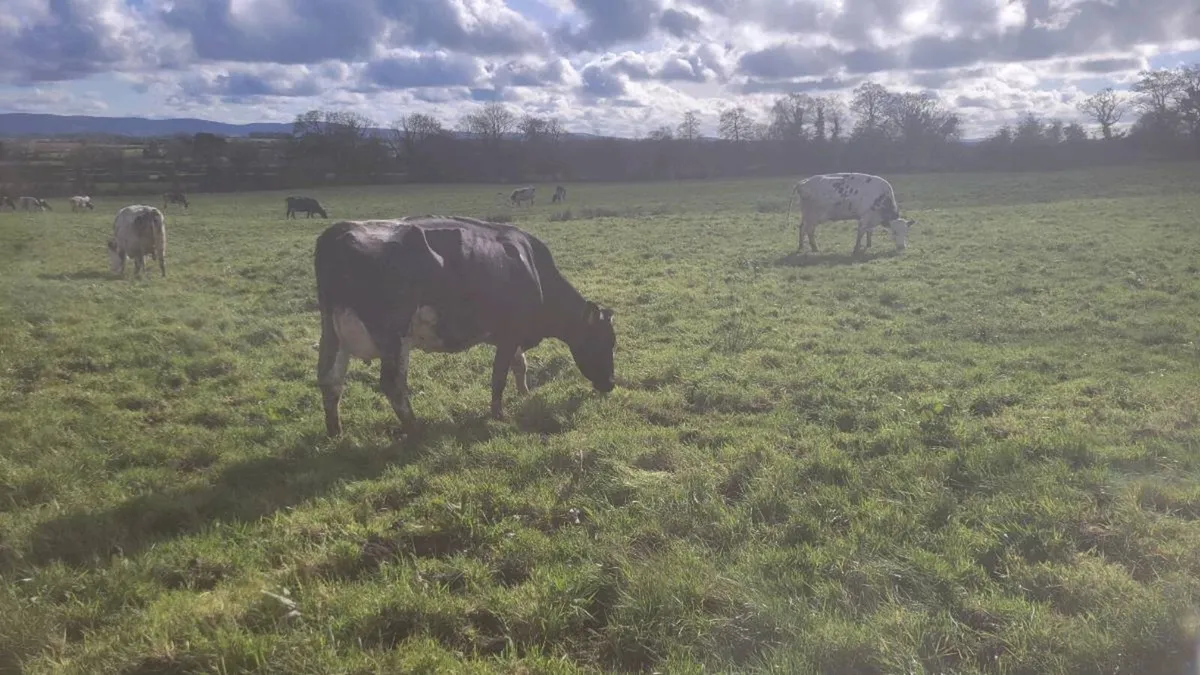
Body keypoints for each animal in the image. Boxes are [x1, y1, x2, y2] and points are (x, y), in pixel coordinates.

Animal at [313, 215, 617, 437]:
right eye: (605, 342)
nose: (611, 384)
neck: (533, 270)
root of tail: (339, 231)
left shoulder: (514, 334)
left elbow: (520, 365)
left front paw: (524, 393)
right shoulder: (509, 334)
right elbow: (499, 377)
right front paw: (498, 415)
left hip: (332, 333)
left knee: (330, 379)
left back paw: (335, 432)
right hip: (394, 336)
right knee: (392, 383)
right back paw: (415, 429)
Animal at [785, 172, 917, 254]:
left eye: (906, 232)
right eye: (894, 232)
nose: (902, 247)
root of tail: (803, 182)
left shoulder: (871, 219)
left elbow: (869, 232)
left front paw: (869, 245)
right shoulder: (865, 218)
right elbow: (861, 233)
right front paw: (856, 250)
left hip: (807, 216)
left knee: (802, 228)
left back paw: (802, 247)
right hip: (813, 217)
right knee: (808, 230)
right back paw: (814, 248)